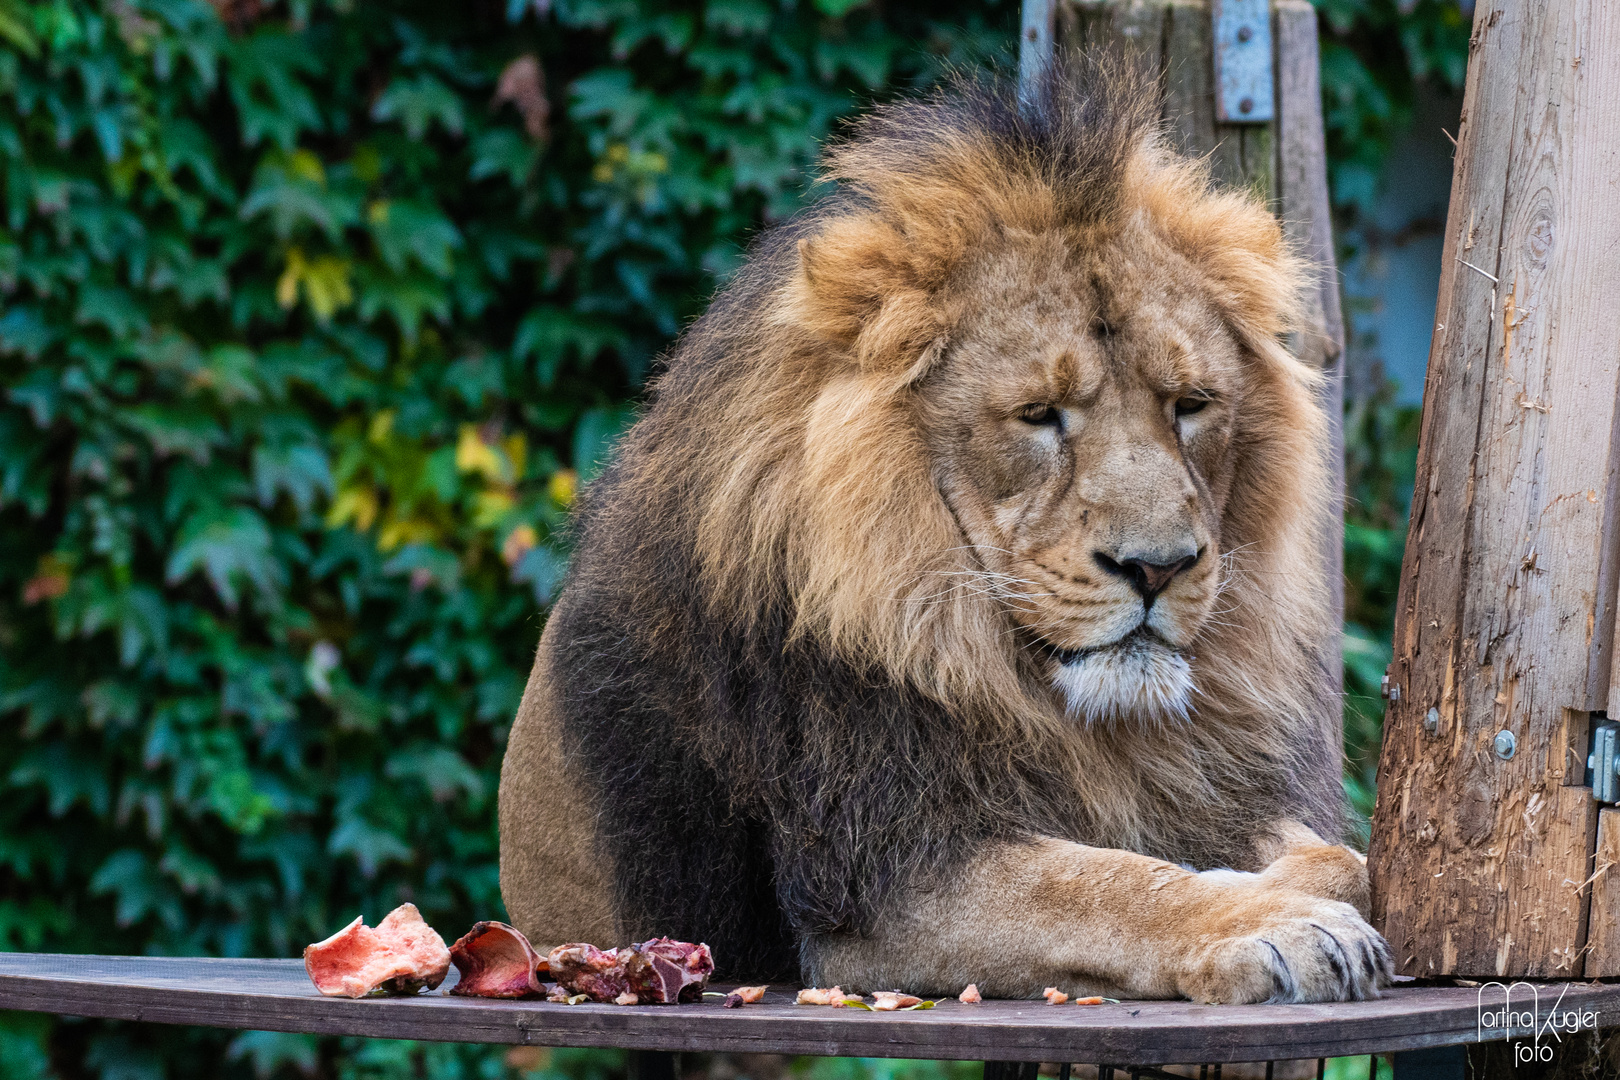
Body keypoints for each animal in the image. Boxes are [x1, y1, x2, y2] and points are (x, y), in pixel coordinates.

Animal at [495, 57, 1393, 1003]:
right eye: (1038, 414)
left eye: (1190, 405)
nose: (1159, 568)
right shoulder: (875, 885)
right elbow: (1104, 884)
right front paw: (1273, 922)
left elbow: (1340, 858)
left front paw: (1286, 880)